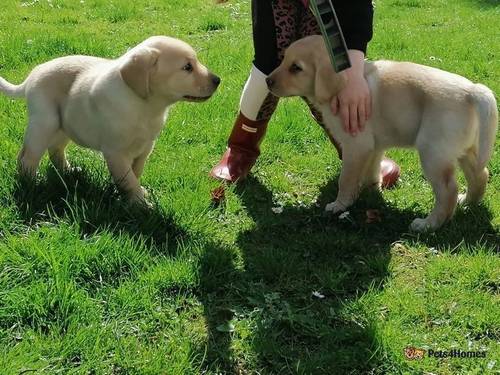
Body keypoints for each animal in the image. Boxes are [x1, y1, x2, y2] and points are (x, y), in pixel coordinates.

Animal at [0, 36, 220, 207]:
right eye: (187, 67)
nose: (218, 80)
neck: (145, 105)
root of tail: (33, 75)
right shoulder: (116, 152)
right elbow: (128, 179)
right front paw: (140, 204)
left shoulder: (146, 147)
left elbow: (135, 173)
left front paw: (136, 195)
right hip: (45, 123)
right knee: (27, 157)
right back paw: (31, 183)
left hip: (65, 125)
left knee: (55, 150)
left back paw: (69, 171)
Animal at [266, 36, 496, 234]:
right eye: (284, 59)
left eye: (296, 68)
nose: (268, 80)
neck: (343, 88)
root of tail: (472, 91)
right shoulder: (373, 145)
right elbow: (371, 168)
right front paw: (371, 189)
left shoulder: (355, 145)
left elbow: (346, 179)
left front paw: (340, 204)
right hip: (465, 149)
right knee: (480, 174)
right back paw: (467, 201)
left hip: (433, 153)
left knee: (448, 191)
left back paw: (428, 224)